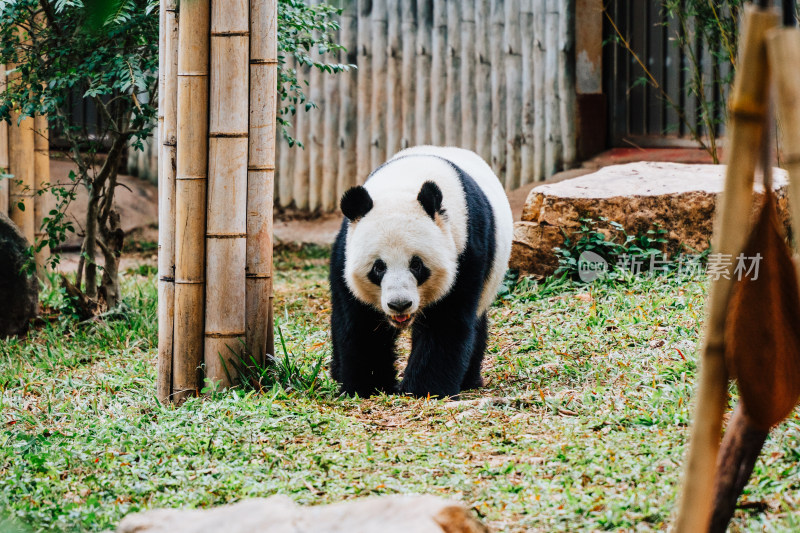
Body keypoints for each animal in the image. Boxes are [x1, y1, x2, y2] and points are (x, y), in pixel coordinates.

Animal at [330, 144, 512, 394]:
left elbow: (445, 323)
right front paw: (367, 385)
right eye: (378, 268)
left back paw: (469, 381)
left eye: (416, 265)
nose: (399, 304)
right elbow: (361, 324)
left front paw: (423, 389)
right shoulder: (346, 252)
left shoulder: (466, 250)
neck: (403, 185)